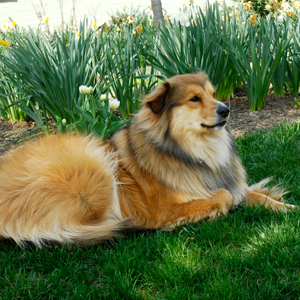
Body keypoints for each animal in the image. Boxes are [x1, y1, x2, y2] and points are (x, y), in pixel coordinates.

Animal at [0, 72, 296, 246]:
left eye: (213, 95)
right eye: (194, 99)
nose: (226, 110)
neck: (194, 150)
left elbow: (252, 195)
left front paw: (287, 207)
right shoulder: (164, 208)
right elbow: (223, 195)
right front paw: (203, 216)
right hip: (93, 163)